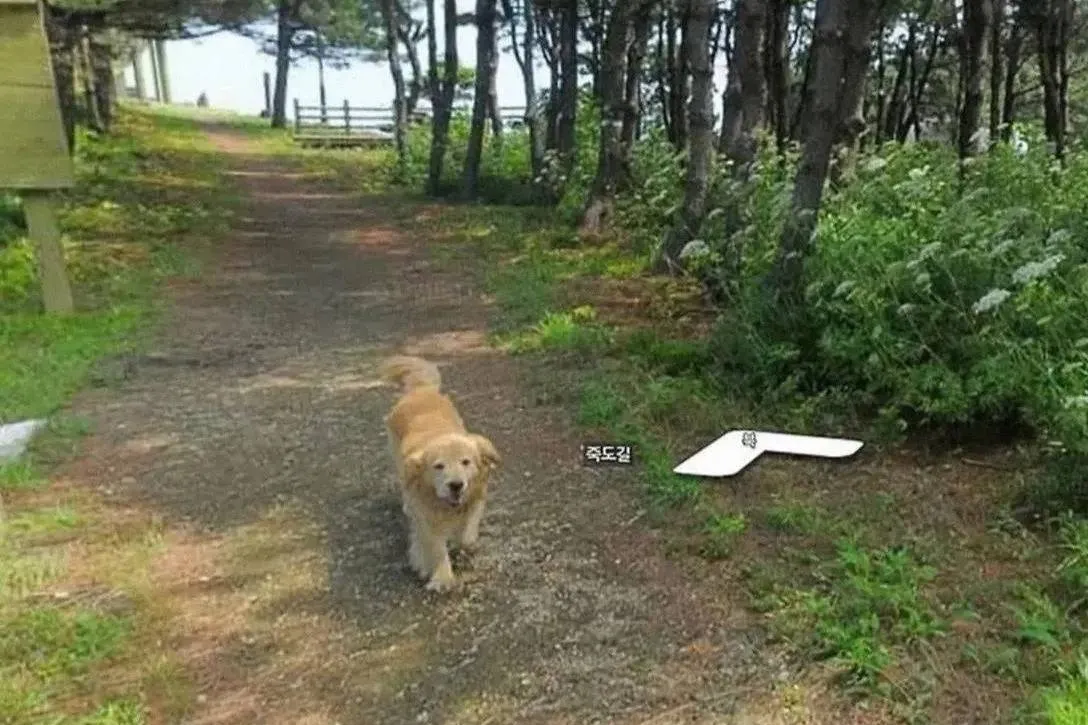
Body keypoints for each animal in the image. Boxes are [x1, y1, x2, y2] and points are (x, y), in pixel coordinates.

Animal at [382, 354, 500, 587]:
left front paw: (460, 541)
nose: (456, 485)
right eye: (438, 466)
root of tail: (420, 390)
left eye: (466, 462)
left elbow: (466, 535)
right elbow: (435, 547)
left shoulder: (476, 498)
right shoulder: (426, 517)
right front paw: (442, 577)